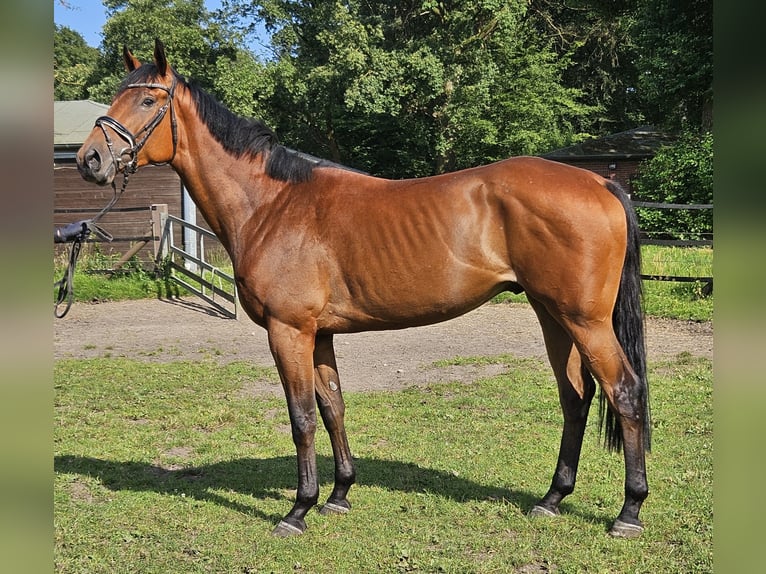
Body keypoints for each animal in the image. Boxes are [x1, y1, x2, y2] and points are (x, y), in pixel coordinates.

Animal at [76, 40, 656, 540]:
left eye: (148, 98)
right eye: (116, 95)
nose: (89, 160)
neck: (271, 204)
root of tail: (601, 182)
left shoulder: (289, 331)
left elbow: (302, 416)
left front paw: (299, 509)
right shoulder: (320, 334)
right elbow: (332, 406)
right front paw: (339, 495)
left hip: (584, 320)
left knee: (624, 392)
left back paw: (629, 511)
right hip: (551, 314)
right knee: (576, 397)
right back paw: (552, 499)